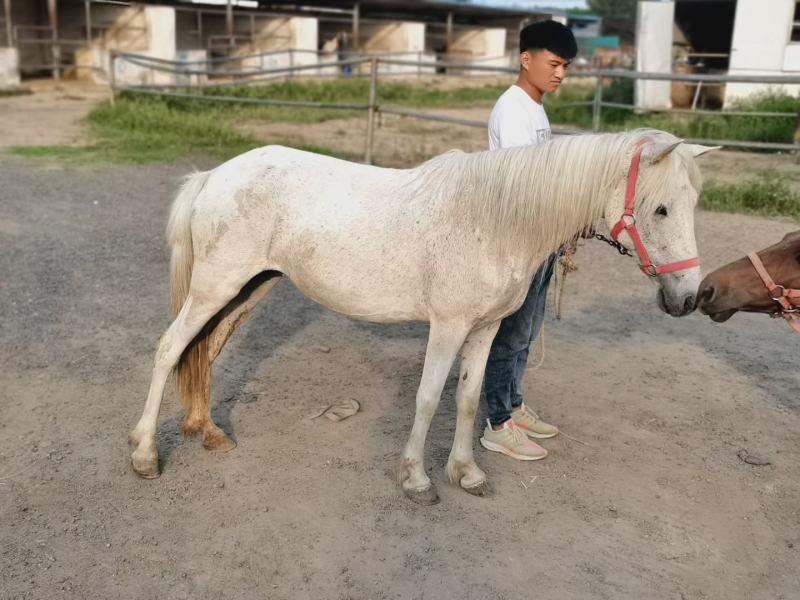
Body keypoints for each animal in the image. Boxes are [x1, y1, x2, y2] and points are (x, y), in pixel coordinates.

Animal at [128, 129, 716, 504]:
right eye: (661, 208)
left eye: (691, 206)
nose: (689, 296)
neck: (496, 221)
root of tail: (214, 176)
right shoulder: (448, 326)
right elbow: (429, 397)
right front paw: (415, 479)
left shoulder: (483, 329)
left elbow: (468, 398)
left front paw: (467, 473)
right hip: (216, 286)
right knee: (170, 348)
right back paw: (145, 455)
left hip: (248, 288)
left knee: (204, 350)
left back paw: (207, 431)